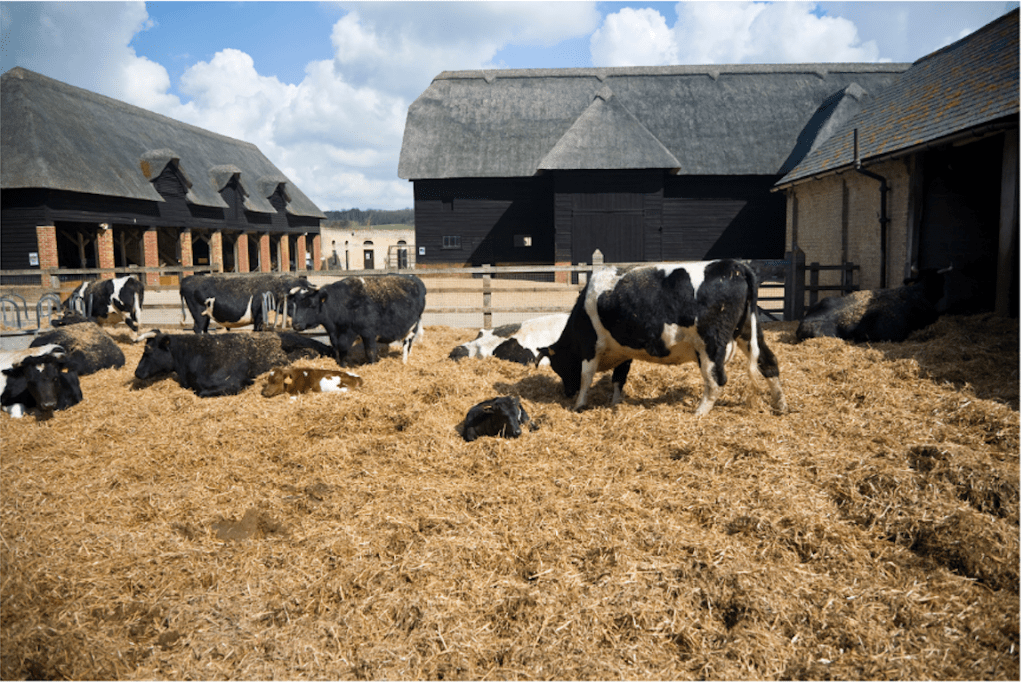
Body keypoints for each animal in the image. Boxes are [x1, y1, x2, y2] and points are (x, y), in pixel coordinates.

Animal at [180, 274, 311, 334]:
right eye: (299, 300)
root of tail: (188, 279)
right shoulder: (259, 317)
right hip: (199, 314)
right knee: (198, 329)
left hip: (205, 315)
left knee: (204, 329)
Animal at [289, 274, 426, 366]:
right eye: (295, 304)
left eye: (311, 305)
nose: (296, 325)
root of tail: (414, 278)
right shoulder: (335, 335)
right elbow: (340, 350)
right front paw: (342, 365)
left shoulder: (369, 333)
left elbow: (370, 352)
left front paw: (372, 365)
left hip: (412, 326)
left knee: (407, 343)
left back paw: (404, 360)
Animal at [537, 260, 787, 416]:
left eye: (558, 367)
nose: (567, 393)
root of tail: (735, 265)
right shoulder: (624, 350)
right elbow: (619, 378)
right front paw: (616, 402)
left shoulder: (590, 346)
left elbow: (585, 377)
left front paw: (579, 404)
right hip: (748, 332)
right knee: (768, 362)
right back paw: (780, 404)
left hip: (711, 343)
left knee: (716, 380)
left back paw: (699, 412)